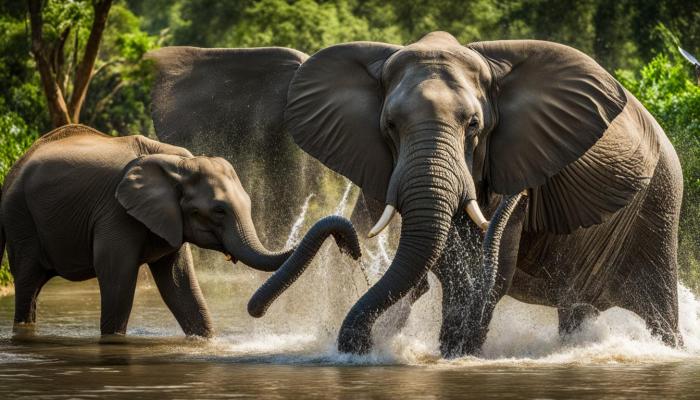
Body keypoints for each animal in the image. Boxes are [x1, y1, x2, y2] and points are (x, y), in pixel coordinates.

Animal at [0, 125, 358, 338]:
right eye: (218, 210)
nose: (350, 246)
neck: (177, 163)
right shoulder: (115, 214)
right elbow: (117, 278)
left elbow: (180, 283)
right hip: (20, 218)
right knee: (28, 282)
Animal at [149, 31, 684, 356]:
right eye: (389, 125)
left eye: (475, 126)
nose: (255, 309)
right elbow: (440, 261)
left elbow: (484, 269)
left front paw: (455, 356)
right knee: (577, 308)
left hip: (660, 200)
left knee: (657, 303)